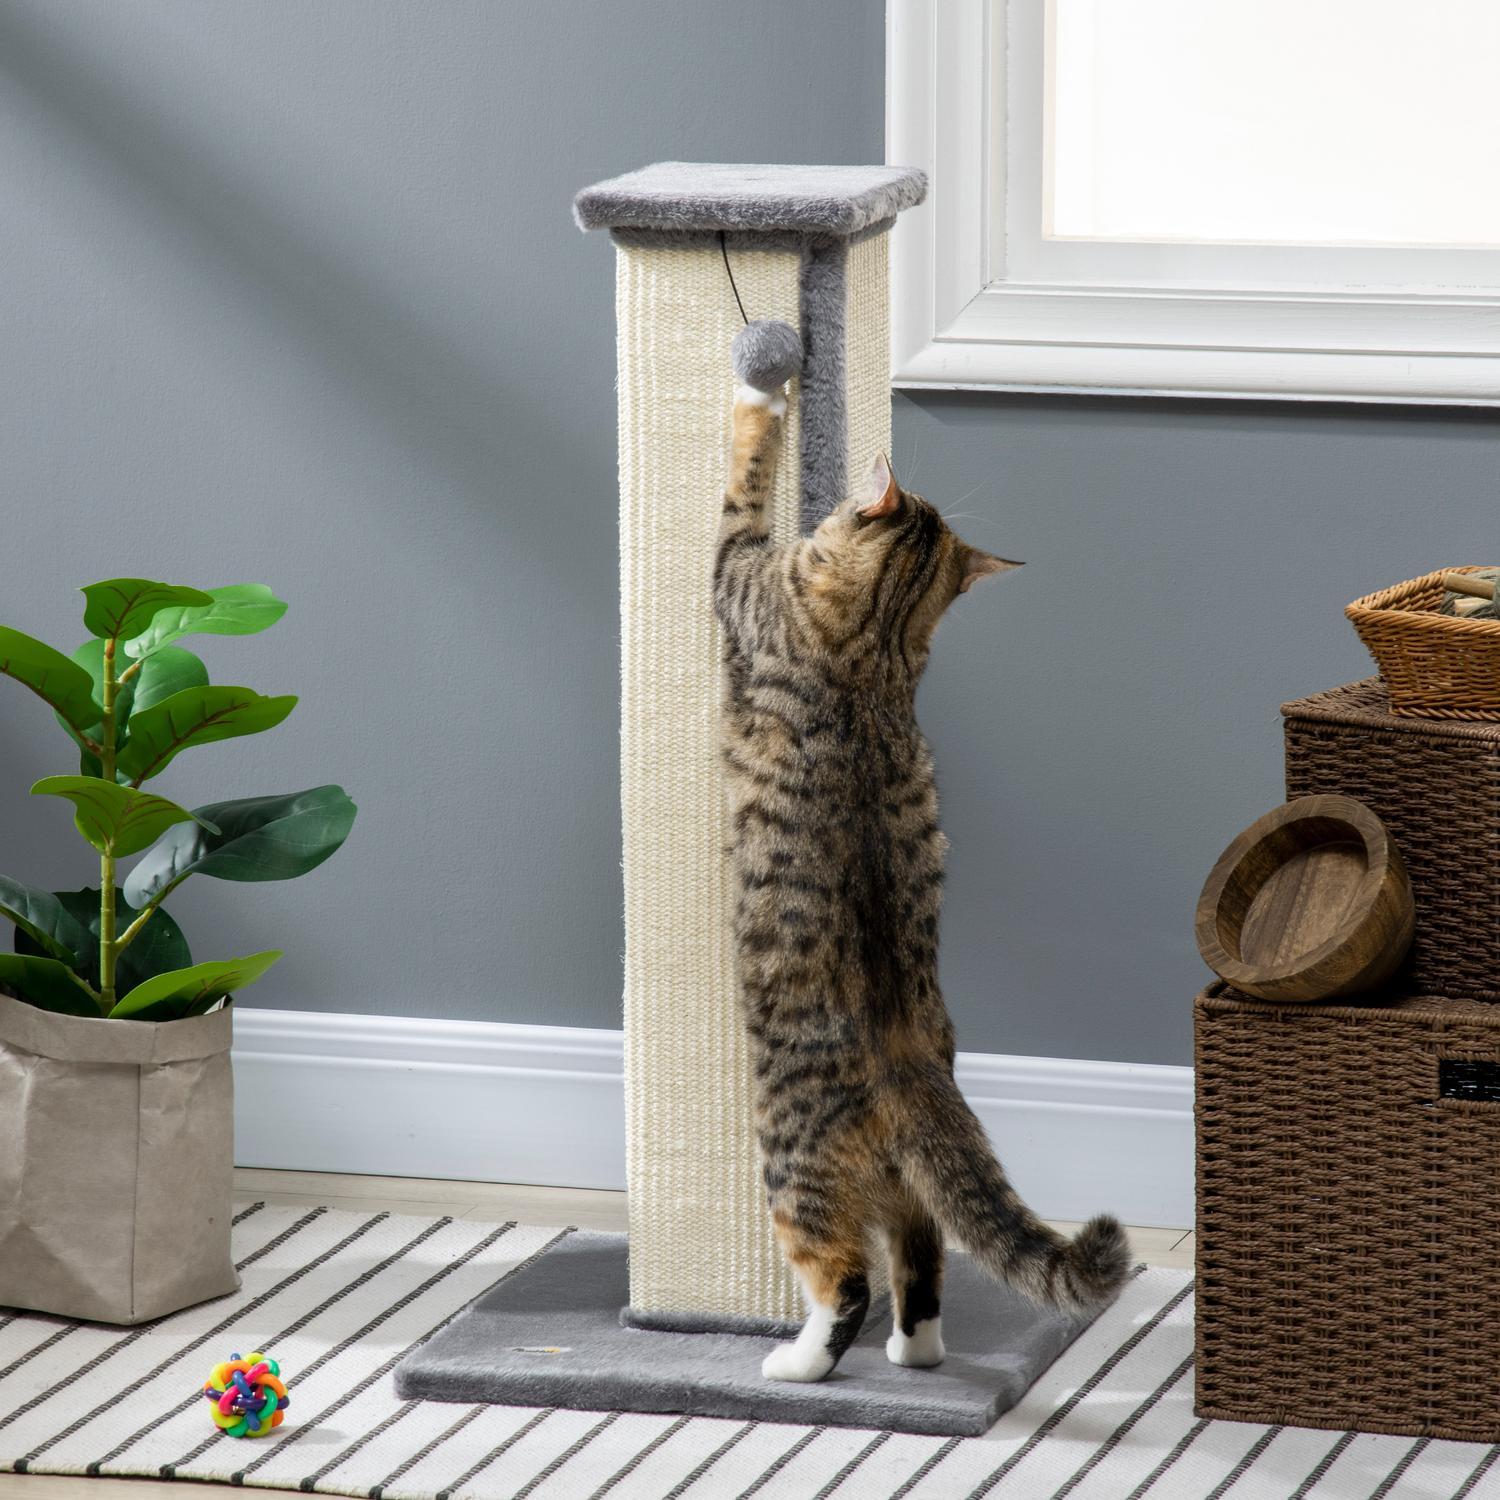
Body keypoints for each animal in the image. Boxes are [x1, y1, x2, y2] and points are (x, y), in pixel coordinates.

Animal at [714, 378, 1128, 1380]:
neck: (876, 639)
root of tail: (908, 1063)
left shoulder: (740, 576)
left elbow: (740, 493)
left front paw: (759, 396)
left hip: (790, 1161)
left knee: (845, 1279)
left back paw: (798, 1362)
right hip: (905, 1188)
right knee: (923, 1252)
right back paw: (917, 1352)